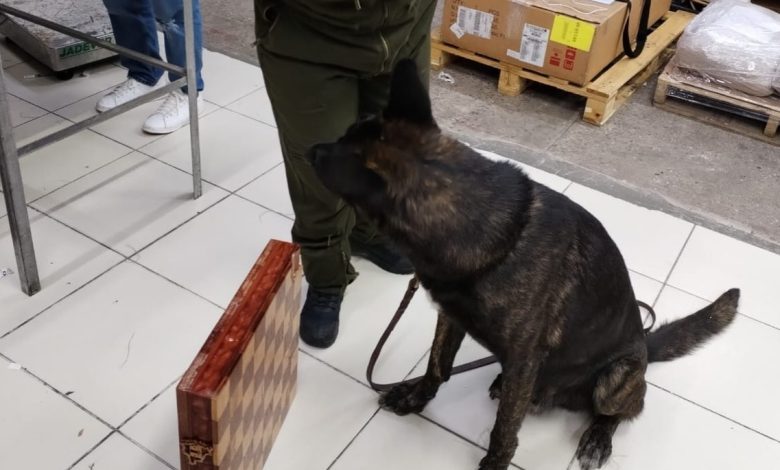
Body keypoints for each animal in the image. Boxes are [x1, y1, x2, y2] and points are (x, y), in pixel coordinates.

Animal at [307, 59, 740, 470]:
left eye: (333, 155)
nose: (309, 150)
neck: (496, 232)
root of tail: (645, 348)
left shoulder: (523, 360)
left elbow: (504, 429)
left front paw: (494, 462)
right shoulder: (452, 318)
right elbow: (437, 366)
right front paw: (416, 397)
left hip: (614, 380)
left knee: (623, 409)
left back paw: (598, 437)